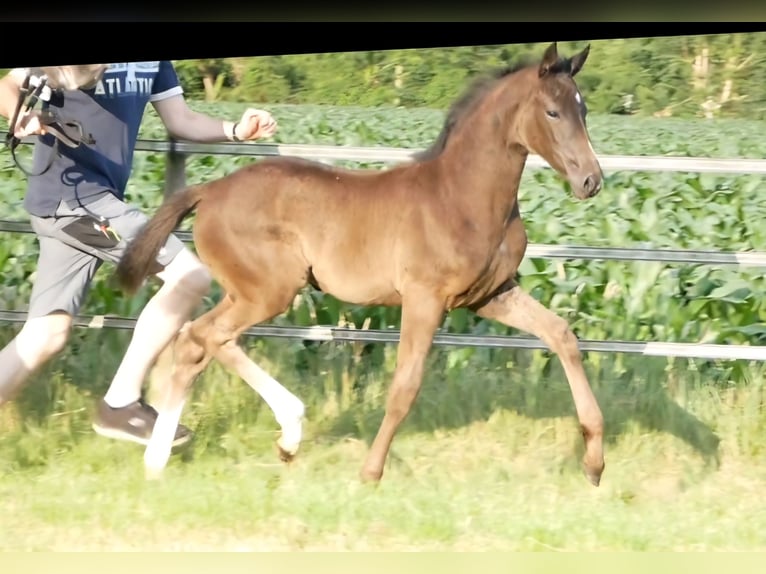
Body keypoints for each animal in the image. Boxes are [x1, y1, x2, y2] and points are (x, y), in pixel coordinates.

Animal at [114, 42, 606, 486]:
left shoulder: (490, 295)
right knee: (204, 337)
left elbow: (562, 336)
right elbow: (405, 384)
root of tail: (209, 191)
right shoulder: (425, 298)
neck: (462, 197)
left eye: (584, 110)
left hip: (250, 291)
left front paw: (595, 462)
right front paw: (371, 472)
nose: (591, 181)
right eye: (553, 112)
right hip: (270, 291)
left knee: (199, 342)